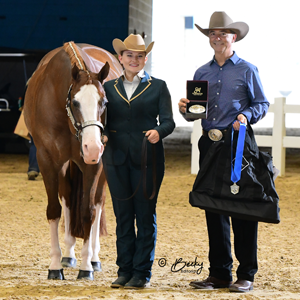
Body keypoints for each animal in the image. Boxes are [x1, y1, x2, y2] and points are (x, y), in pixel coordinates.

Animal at [22, 41, 122, 278]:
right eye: (75, 102)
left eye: (104, 101)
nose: (93, 147)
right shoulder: (47, 160)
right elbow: (54, 210)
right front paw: (55, 265)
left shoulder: (93, 164)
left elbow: (89, 211)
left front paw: (86, 267)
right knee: (67, 197)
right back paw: (68, 254)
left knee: (98, 201)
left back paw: (94, 258)